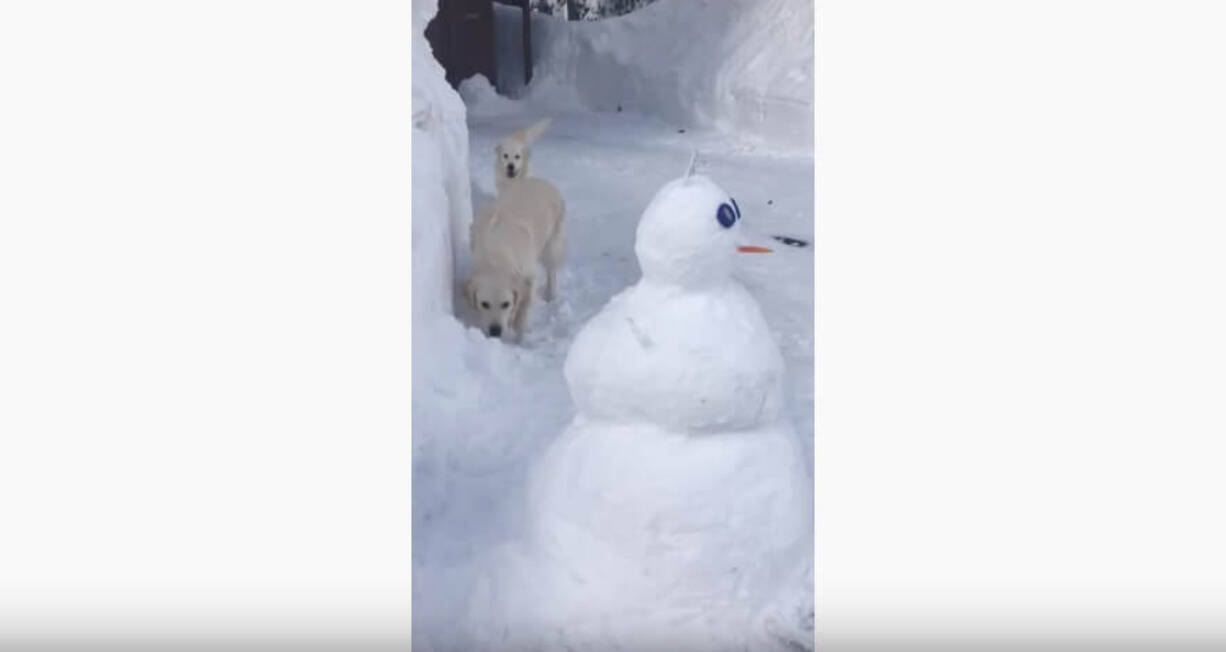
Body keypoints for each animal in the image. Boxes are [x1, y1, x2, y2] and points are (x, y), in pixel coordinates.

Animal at [463, 175, 563, 343]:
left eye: (506, 304)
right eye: (484, 304)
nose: (495, 331)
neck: (496, 257)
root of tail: (541, 180)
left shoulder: (528, 277)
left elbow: (523, 309)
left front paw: (519, 336)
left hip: (551, 245)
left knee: (552, 271)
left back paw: (551, 295)